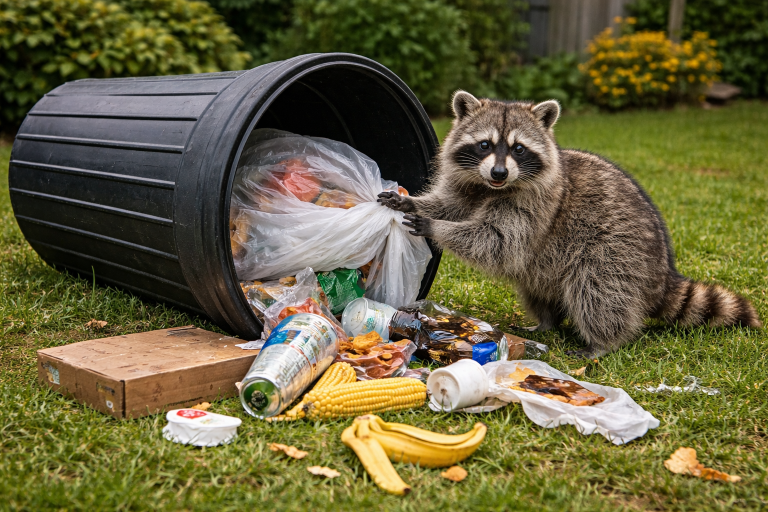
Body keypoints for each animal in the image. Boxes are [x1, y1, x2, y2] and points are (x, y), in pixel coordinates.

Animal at [378, 91, 761, 357]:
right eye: (485, 144)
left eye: (518, 149)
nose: (499, 172)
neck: (491, 188)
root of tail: (663, 270)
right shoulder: (469, 184)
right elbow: (451, 205)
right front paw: (415, 202)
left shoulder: (535, 207)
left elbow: (496, 241)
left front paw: (435, 226)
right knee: (535, 288)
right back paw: (546, 321)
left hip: (617, 253)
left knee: (597, 292)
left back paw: (604, 342)